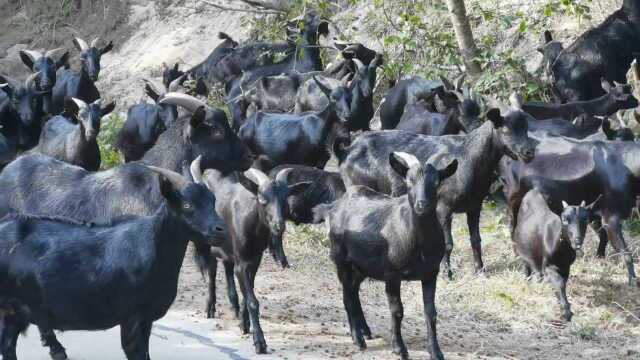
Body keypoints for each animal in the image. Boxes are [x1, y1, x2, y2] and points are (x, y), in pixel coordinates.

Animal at [0, 165, 226, 360]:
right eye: (187, 205)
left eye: (213, 200)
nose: (220, 230)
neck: (152, 246)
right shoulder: (132, 319)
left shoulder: (146, 321)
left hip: (15, 313)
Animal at [200, 166, 310, 354]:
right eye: (262, 199)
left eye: (285, 199)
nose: (279, 226)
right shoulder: (242, 263)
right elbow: (252, 301)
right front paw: (260, 342)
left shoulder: (254, 261)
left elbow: (247, 294)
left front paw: (244, 324)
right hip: (207, 244)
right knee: (211, 274)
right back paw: (210, 308)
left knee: (227, 268)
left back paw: (234, 306)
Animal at [318, 151, 458, 360]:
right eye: (409, 180)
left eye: (437, 182)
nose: (422, 205)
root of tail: (334, 206)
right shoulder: (392, 274)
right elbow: (397, 310)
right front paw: (399, 348)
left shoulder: (430, 273)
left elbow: (430, 312)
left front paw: (436, 351)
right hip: (341, 259)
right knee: (347, 296)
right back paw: (358, 338)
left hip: (362, 266)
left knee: (354, 291)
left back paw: (365, 330)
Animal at [338, 108, 536, 278]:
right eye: (506, 129)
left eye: (526, 128)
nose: (529, 152)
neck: (467, 156)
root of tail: (347, 151)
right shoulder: (443, 207)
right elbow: (448, 243)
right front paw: (446, 273)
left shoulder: (474, 205)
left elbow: (476, 239)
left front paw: (480, 270)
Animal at [512, 190, 596, 322]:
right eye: (565, 219)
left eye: (586, 219)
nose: (577, 241)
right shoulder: (548, 265)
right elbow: (558, 282)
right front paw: (566, 311)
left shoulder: (566, 267)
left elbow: (562, 283)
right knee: (527, 266)